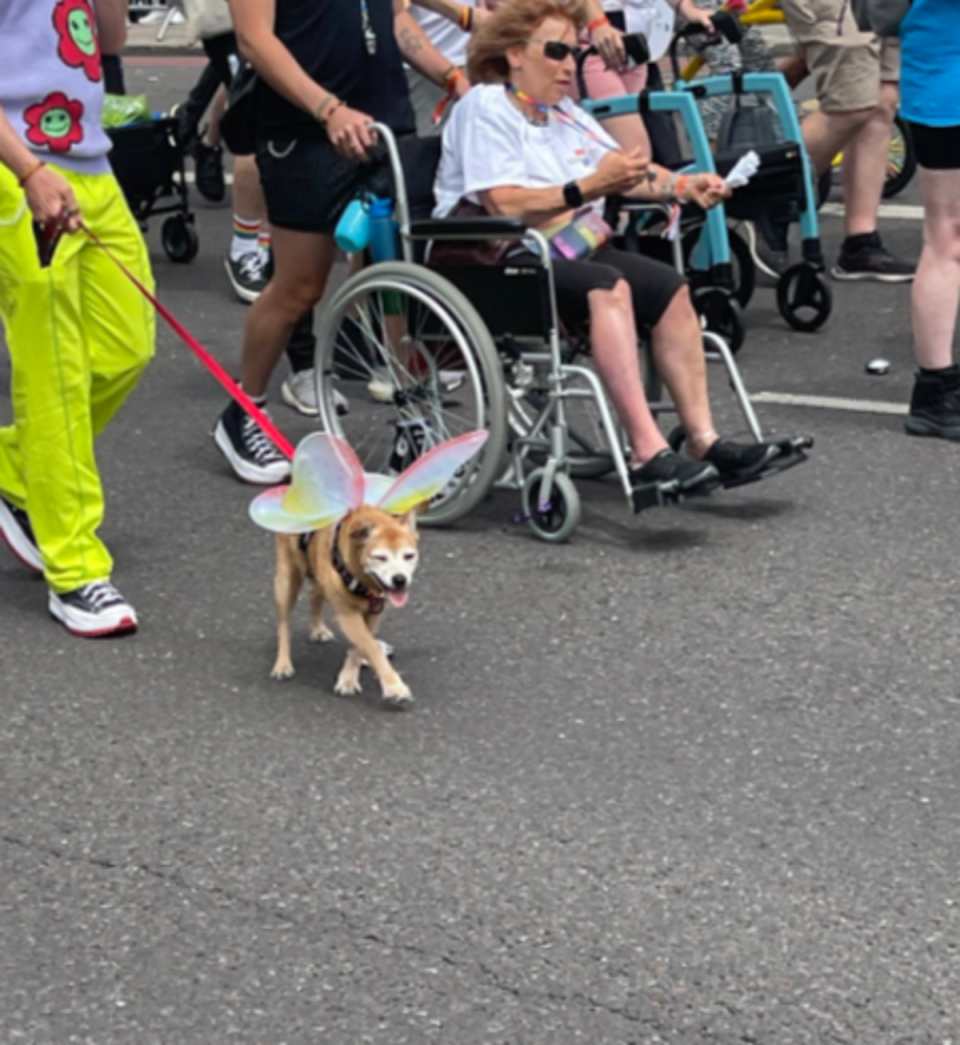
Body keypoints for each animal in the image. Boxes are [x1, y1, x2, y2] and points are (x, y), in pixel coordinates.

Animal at [269, 501, 419, 706]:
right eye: (380, 557)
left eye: (409, 556)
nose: (399, 579)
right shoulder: (348, 615)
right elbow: (372, 648)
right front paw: (393, 686)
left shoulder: (372, 614)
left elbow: (360, 647)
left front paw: (347, 679)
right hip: (286, 580)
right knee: (283, 624)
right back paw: (283, 663)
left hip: (319, 576)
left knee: (314, 594)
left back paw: (318, 629)